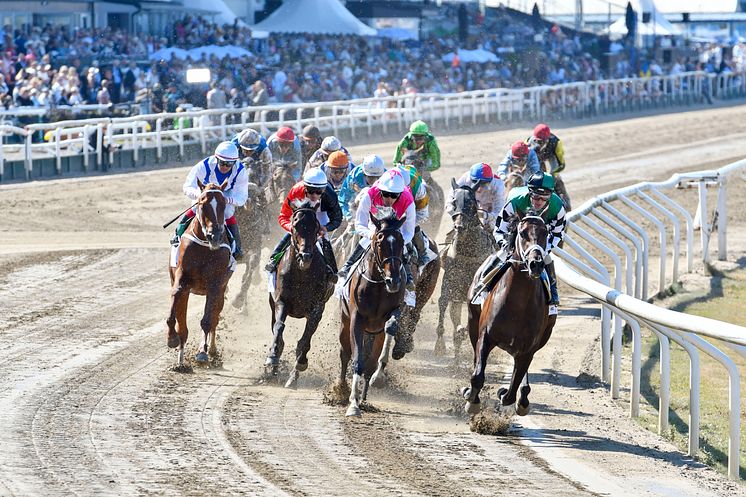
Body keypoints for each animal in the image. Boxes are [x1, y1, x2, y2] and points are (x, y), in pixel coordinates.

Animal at [167, 178, 234, 364]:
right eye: (202, 204)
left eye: (223, 204)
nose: (215, 236)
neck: (205, 247)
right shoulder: (181, 279)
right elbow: (175, 309)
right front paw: (172, 338)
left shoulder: (215, 285)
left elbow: (207, 321)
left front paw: (202, 352)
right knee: (183, 325)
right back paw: (181, 361)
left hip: (220, 292)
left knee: (215, 318)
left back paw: (211, 349)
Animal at [266, 198, 332, 388]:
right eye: (295, 225)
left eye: (316, 226)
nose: (305, 256)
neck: (302, 273)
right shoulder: (281, 301)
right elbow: (279, 327)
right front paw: (272, 356)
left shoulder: (317, 309)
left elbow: (304, 341)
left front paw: (300, 365)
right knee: (276, 328)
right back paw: (273, 370)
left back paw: (291, 378)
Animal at [338, 207, 406, 416]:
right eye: (379, 241)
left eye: (401, 242)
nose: (394, 281)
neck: (378, 283)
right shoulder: (356, 319)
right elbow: (357, 359)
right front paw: (353, 404)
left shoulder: (393, 311)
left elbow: (390, 328)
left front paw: (378, 377)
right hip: (344, 323)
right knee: (344, 353)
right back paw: (340, 389)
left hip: (375, 332)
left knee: (371, 359)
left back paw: (365, 393)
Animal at [430, 180, 494, 358]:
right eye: (453, 201)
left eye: (471, 203)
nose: (459, 226)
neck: (467, 252)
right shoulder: (449, 282)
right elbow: (442, 303)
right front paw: (440, 345)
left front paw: (462, 332)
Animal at [456, 216, 556, 414]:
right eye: (523, 233)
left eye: (545, 232)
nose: (536, 264)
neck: (518, 305)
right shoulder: (485, 335)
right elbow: (477, 375)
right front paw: (472, 399)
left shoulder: (528, 349)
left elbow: (513, 388)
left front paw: (504, 393)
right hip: (472, 321)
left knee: (521, 378)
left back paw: (522, 396)